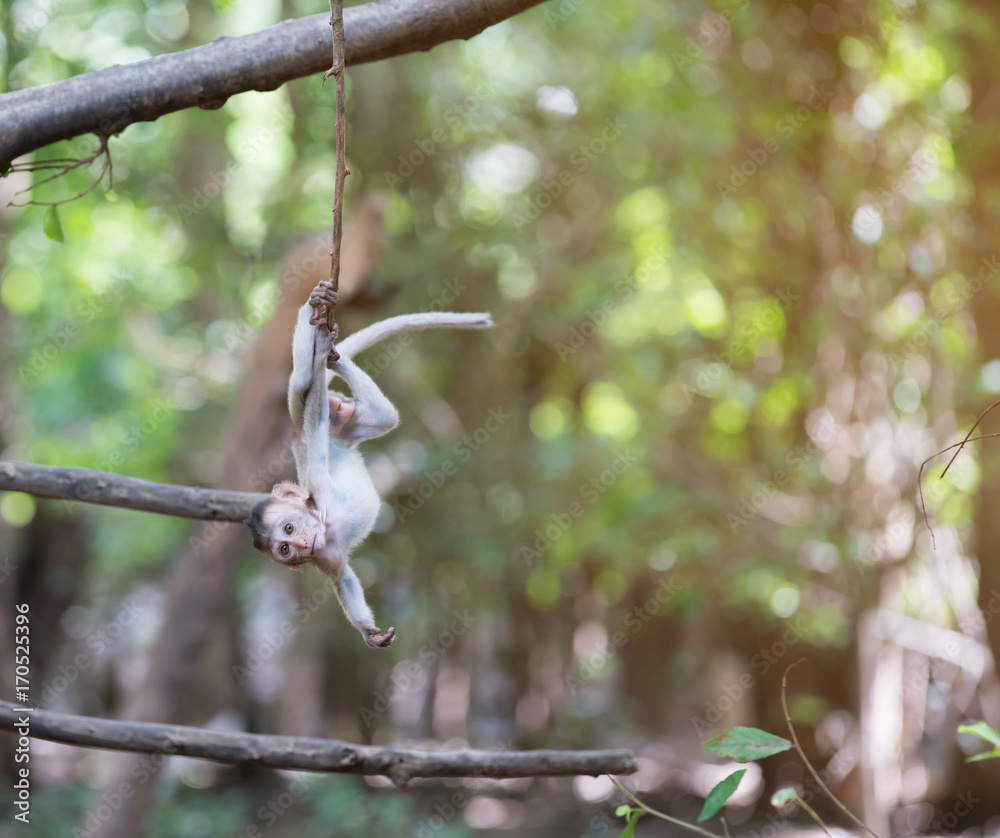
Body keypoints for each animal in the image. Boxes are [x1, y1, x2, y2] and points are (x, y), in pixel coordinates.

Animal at [245, 280, 493, 648]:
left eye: (289, 529)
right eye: (286, 549)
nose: (303, 544)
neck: (326, 522)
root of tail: (296, 439)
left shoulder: (318, 481)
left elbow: (316, 417)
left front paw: (321, 343)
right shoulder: (326, 557)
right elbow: (344, 577)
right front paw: (369, 632)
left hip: (325, 431)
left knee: (311, 394)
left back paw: (324, 341)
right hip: (348, 432)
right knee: (380, 417)